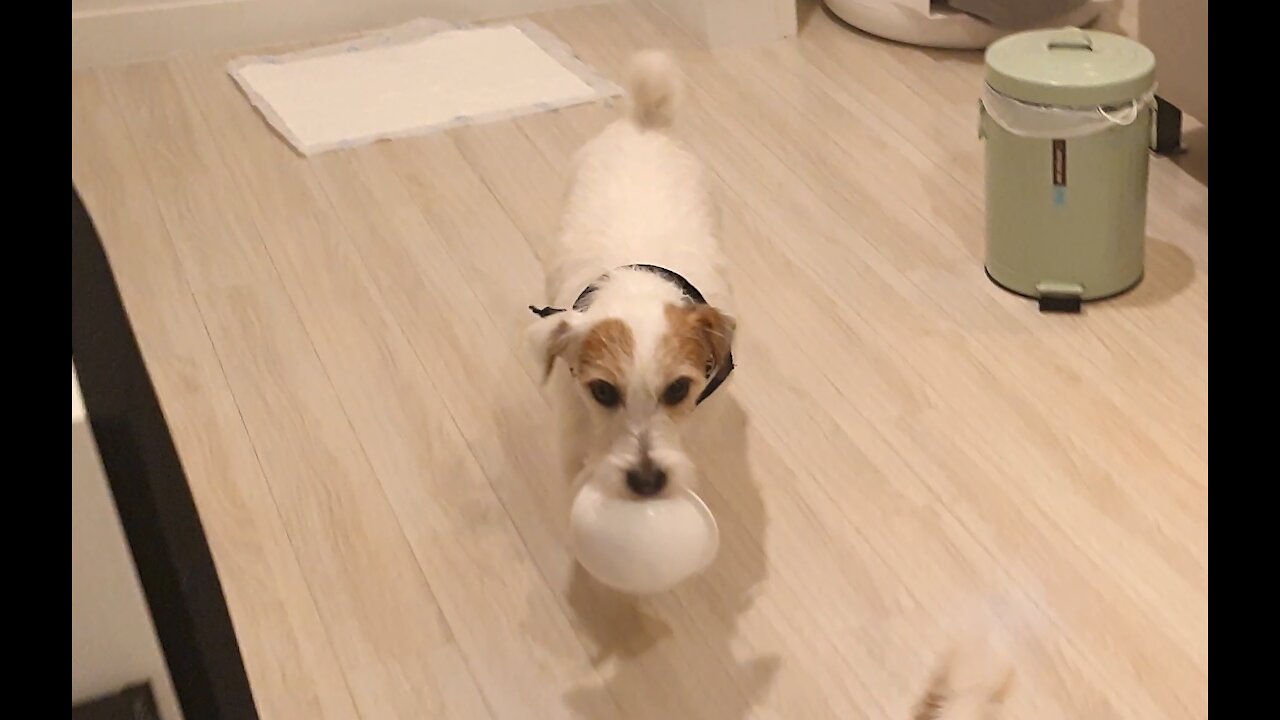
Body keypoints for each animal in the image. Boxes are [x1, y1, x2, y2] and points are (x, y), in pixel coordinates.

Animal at [524, 49, 737, 499]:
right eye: (603, 391)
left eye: (678, 388)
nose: (647, 482)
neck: (638, 287)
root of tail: (644, 122)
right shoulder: (572, 436)